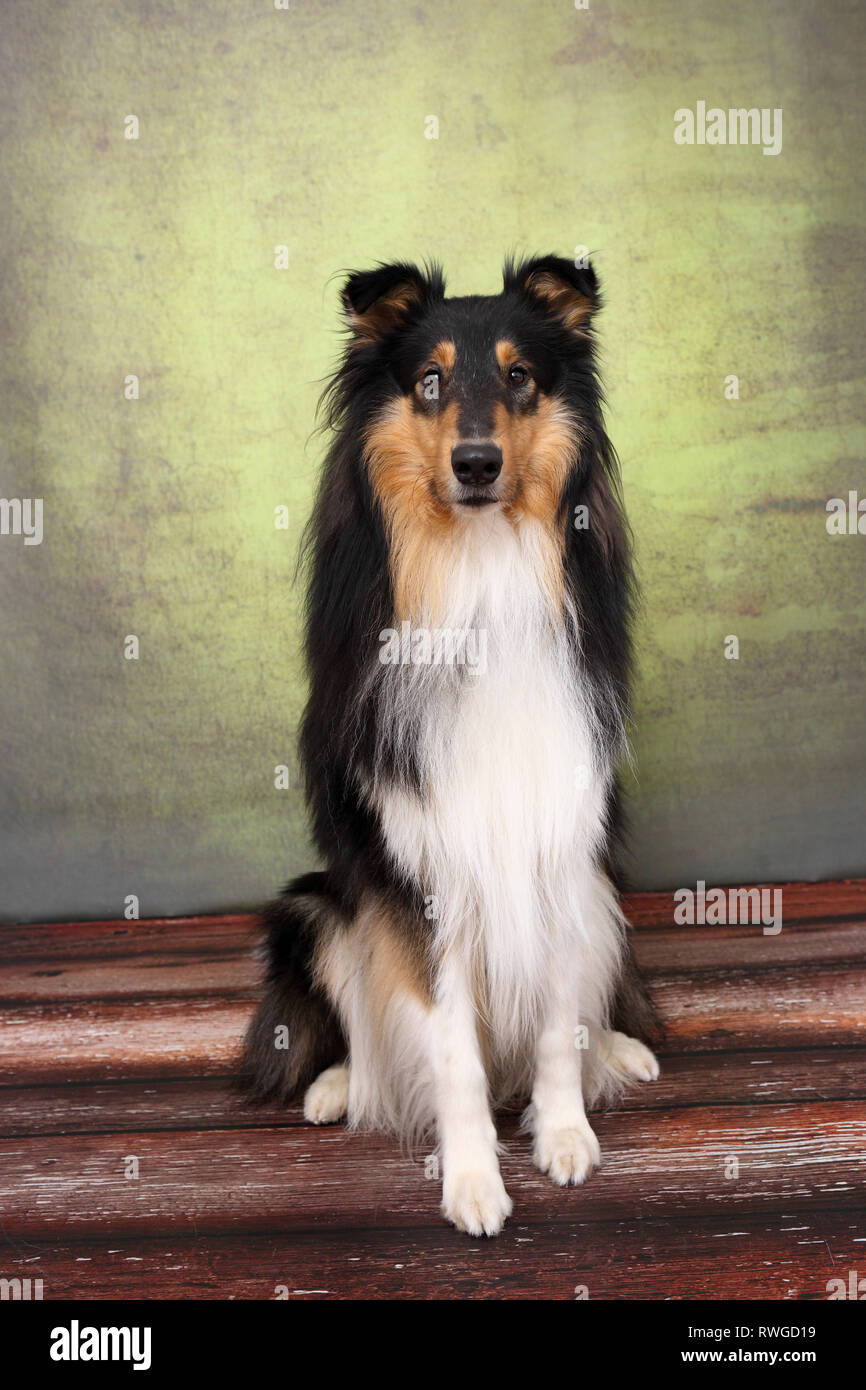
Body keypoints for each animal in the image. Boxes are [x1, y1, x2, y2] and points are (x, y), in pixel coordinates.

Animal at [240, 255, 661, 1234]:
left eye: (520, 377)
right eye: (428, 382)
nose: (477, 464)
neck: (480, 569)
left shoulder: (556, 850)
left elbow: (556, 1026)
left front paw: (564, 1137)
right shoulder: (422, 874)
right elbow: (452, 1052)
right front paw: (472, 1182)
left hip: (602, 899)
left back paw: (619, 1052)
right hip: (317, 908)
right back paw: (339, 1086)